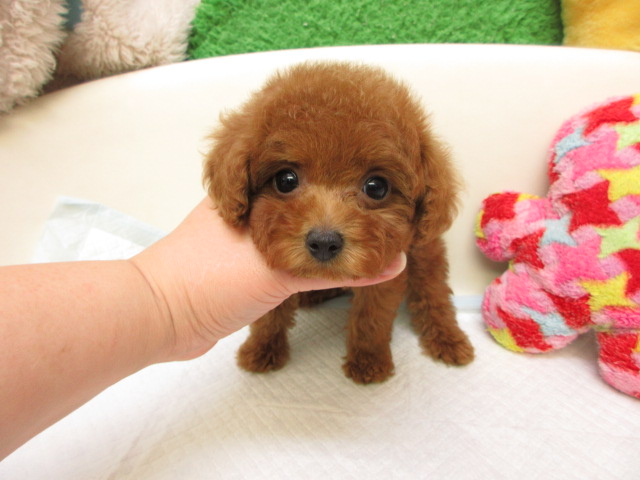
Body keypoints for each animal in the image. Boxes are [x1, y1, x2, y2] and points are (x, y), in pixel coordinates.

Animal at [203, 61, 474, 384]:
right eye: (285, 180)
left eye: (376, 187)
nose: (324, 242)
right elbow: (268, 315)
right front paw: (261, 350)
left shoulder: (387, 271)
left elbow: (372, 317)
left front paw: (369, 362)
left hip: (425, 252)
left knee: (433, 293)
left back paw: (448, 338)